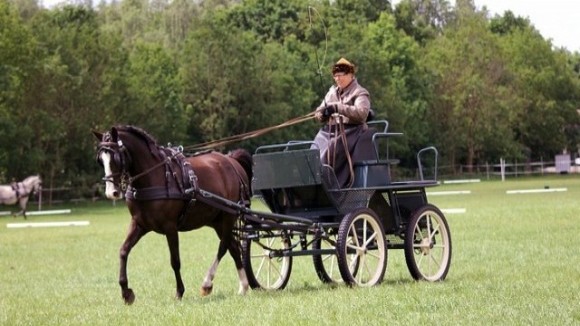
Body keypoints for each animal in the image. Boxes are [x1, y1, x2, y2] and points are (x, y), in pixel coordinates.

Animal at [93, 125, 251, 304]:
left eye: (116, 158)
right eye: (100, 160)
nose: (111, 193)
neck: (153, 177)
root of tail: (232, 161)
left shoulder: (170, 227)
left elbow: (175, 260)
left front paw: (179, 292)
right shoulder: (139, 224)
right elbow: (123, 251)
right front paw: (126, 292)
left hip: (228, 216)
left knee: (223, 247)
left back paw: (207, 283)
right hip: (217, 221)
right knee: (234, 247)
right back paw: (243, 286)